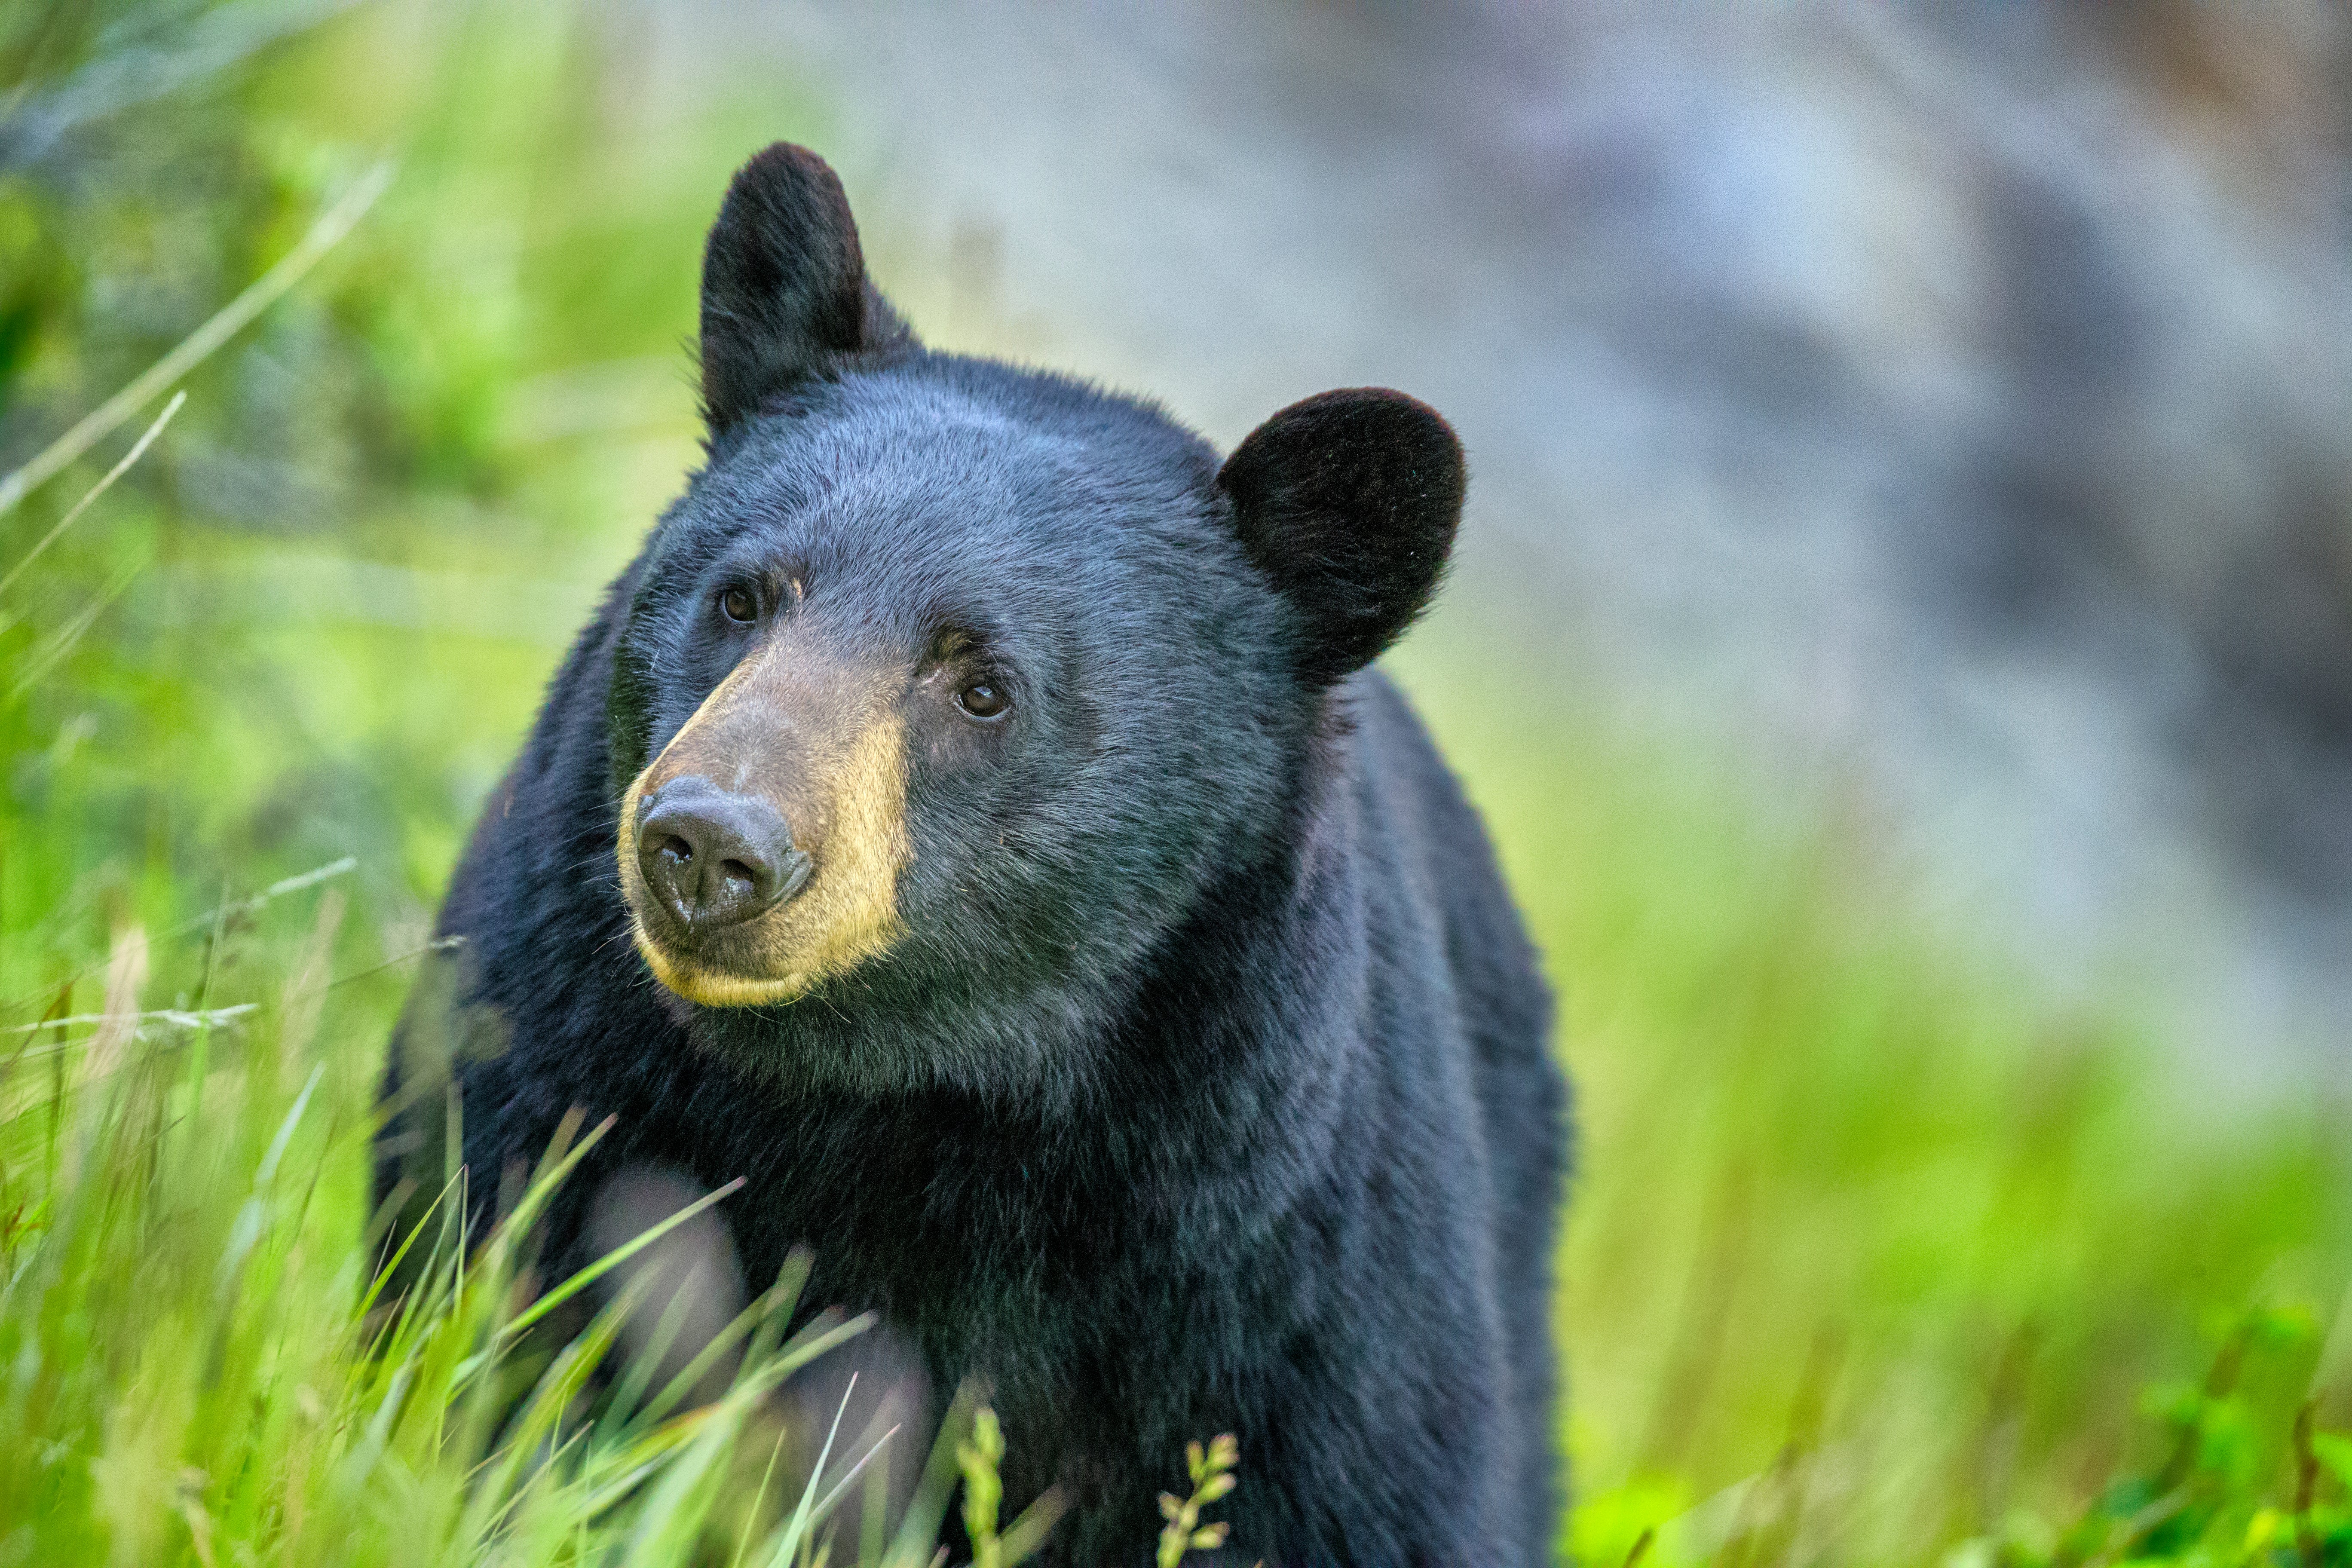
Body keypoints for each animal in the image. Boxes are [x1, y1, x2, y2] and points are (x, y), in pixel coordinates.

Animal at [386, 144, 1562, 1561]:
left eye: (983, 685)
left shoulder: (1295, 1289)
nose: (712, 846)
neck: (914, 1098)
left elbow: (1360, 1492)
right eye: (741, 596)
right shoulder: (554, 1056)